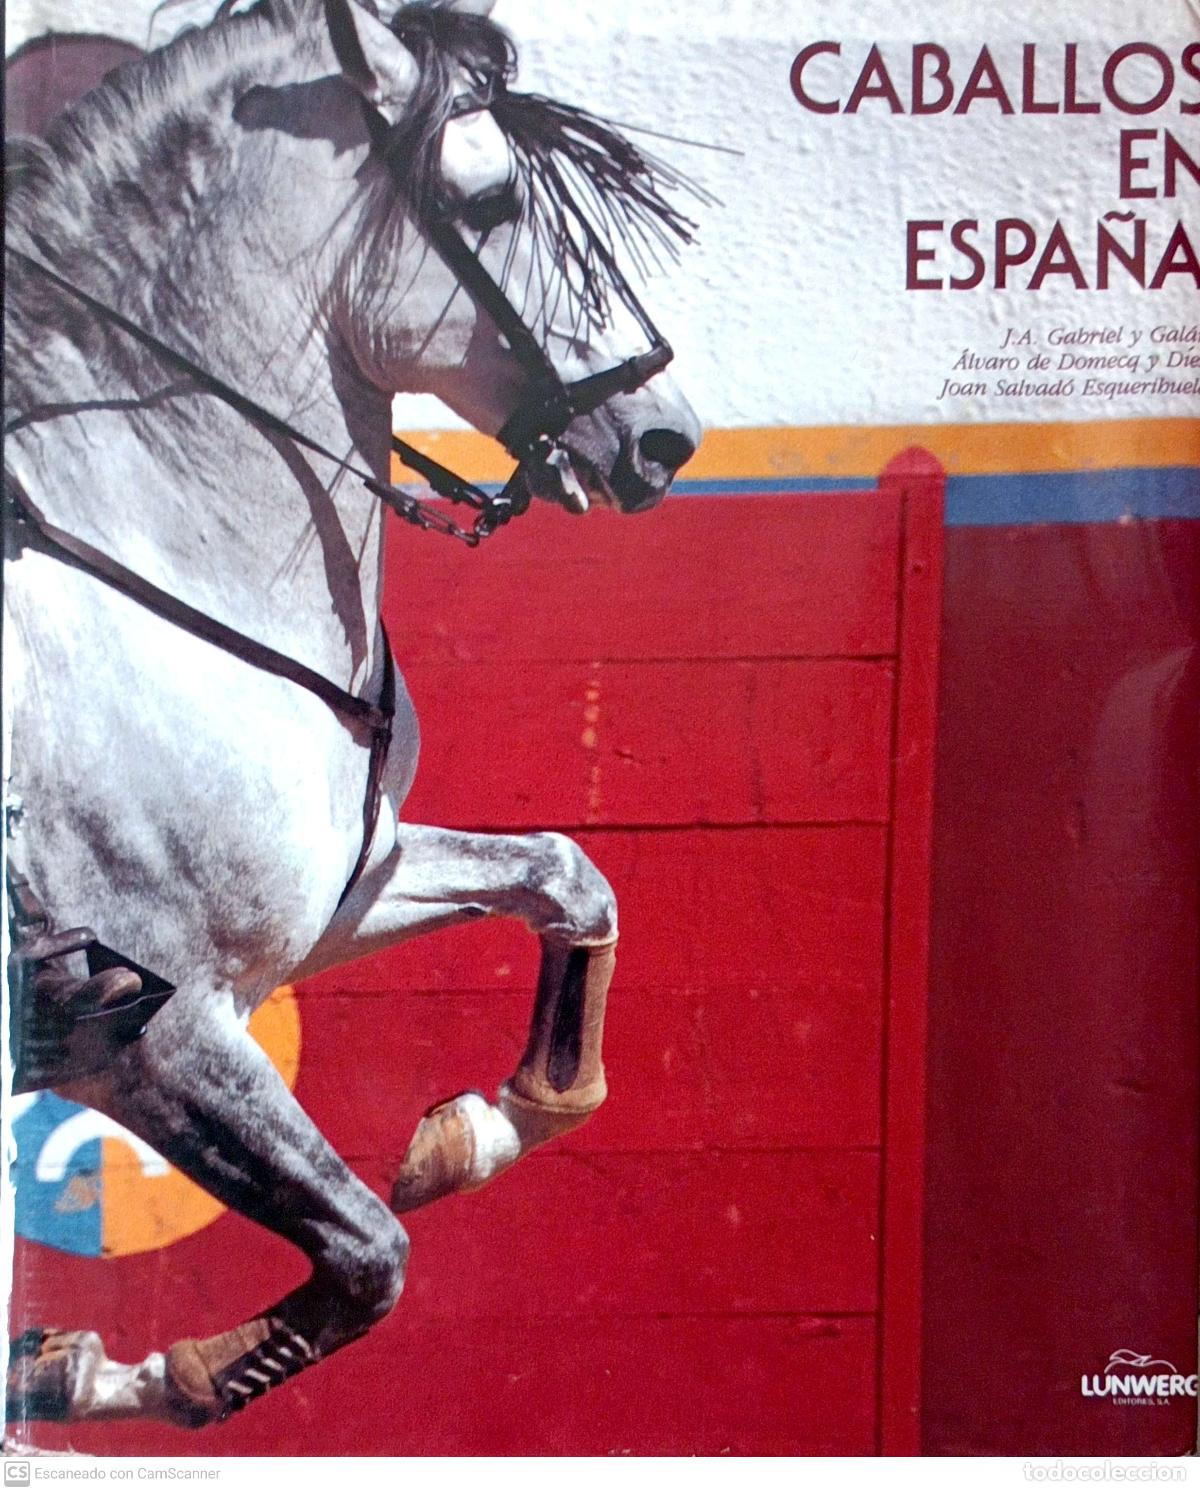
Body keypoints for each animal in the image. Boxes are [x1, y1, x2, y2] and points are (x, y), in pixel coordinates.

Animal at [3, 0, 701, 1428]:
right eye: (487, 200)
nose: (664, 438)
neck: (154, 538)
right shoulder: (154, 1033)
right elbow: (368, 1256)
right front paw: (109, 1365)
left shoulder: (333, 898)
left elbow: (567, 874)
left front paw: (481, 1127)